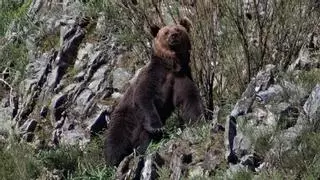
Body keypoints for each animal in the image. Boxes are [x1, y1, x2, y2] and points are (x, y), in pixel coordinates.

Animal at [104, 18, 204, 166]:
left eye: (178, 29)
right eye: (166, 31)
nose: (173, 35)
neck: (171, 65)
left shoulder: (181, 77)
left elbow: (189, 96)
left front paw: (199, 118)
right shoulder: (153, 76)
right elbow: (143, 97)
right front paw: (157, 127)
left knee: (143, 140)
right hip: (125, 120)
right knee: (116, 140)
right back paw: (114, 160)